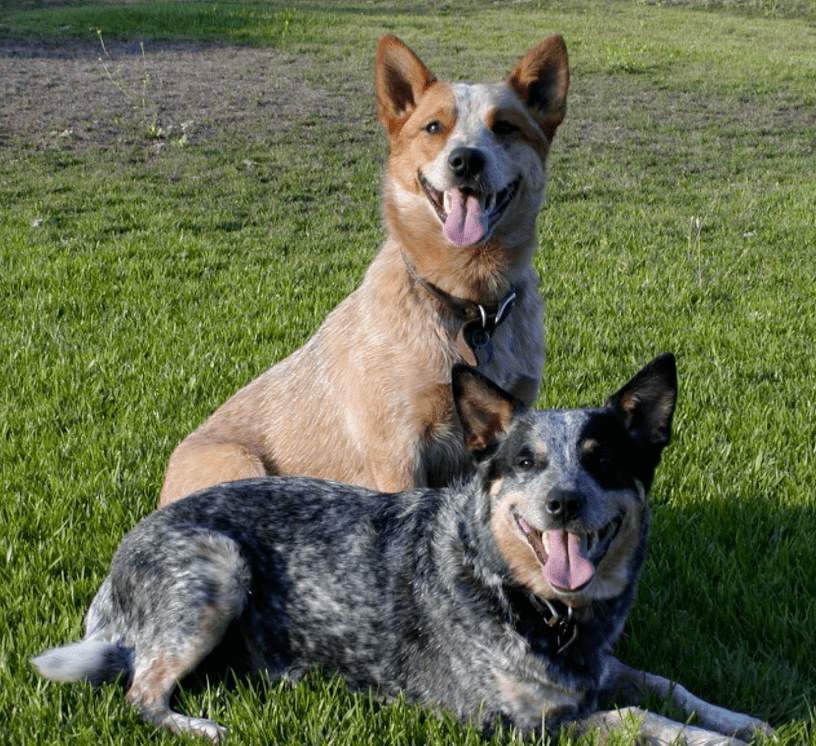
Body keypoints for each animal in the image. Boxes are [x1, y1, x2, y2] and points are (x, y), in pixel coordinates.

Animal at [33, 358, 772, 740]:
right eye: (526, 462)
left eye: (602, 459)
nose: (563, 501)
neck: (524, 598)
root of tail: (122, 558)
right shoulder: (512, 725)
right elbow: (640, 717)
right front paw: (713, 739)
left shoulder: (595, 670)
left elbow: (666, 684)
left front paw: (745, 719)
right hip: (218, 566)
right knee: (139, 691)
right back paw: (201, 727)